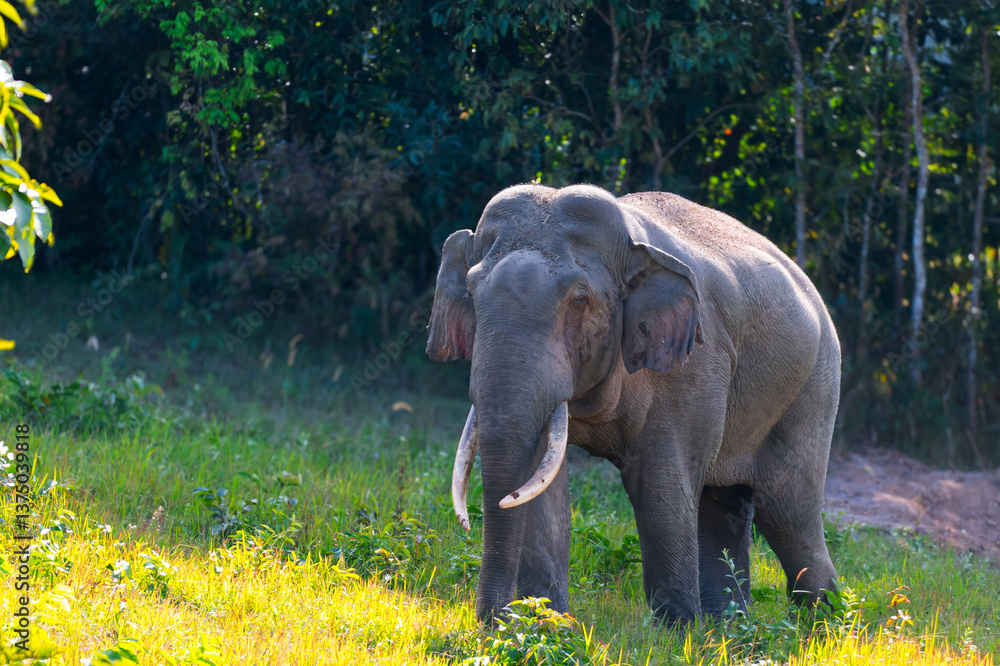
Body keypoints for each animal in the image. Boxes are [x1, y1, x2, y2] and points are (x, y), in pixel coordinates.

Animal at [426, 184, 840, 625]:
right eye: (471, 291)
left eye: (580, 300)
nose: (497, 619)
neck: (631, 243)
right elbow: (542, 483)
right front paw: (547, 621)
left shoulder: (692, 363)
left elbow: (658, 484)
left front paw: (675, 630)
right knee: (723, 503)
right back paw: (730, 626)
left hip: (813, 388)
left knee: (787, 511)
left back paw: (821, 623)